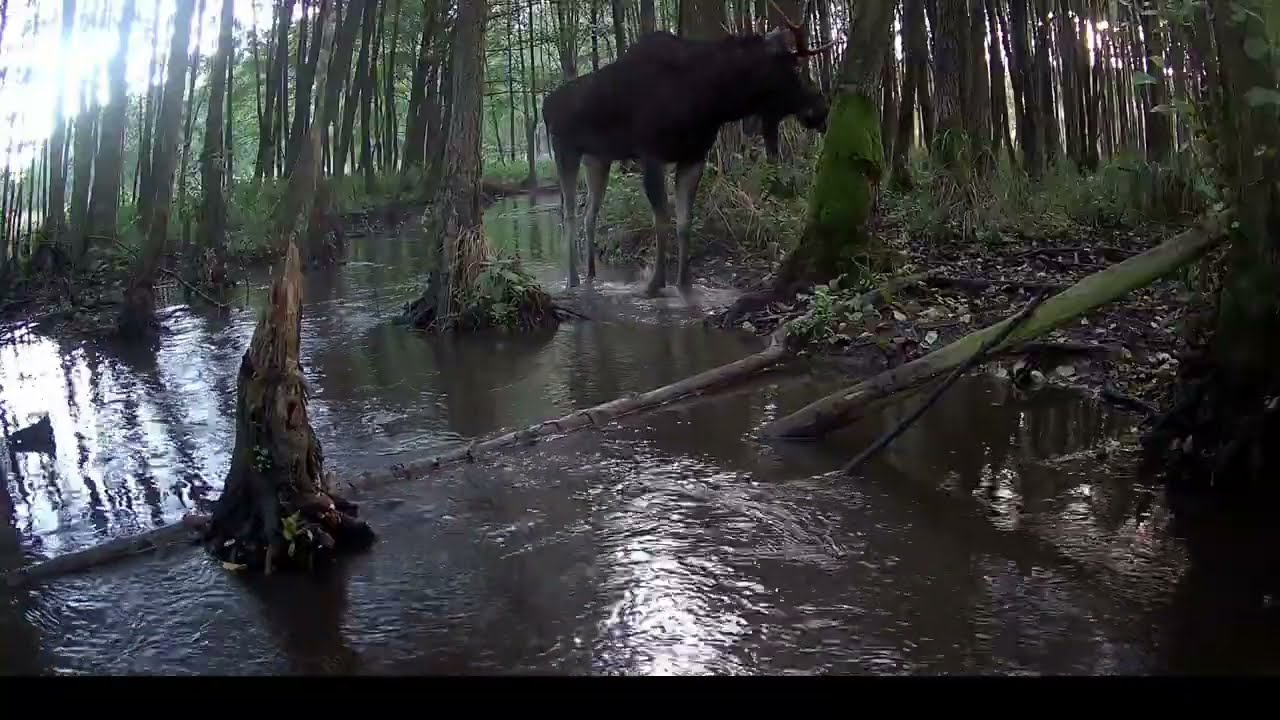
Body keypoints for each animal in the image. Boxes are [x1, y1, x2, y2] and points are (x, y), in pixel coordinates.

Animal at [542, 1, 833, 297]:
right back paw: (573, 279)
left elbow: (684, 221)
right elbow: (662, 218)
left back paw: (590, 274)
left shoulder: (694, 156)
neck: (711, 98)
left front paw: (685, 283)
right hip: (564, 149)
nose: (822, 108)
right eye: (794, 66)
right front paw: (655, 283)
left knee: (590, 214)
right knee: (570, 214)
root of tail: (546, 104)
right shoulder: (651, 154)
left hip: (598, 158)